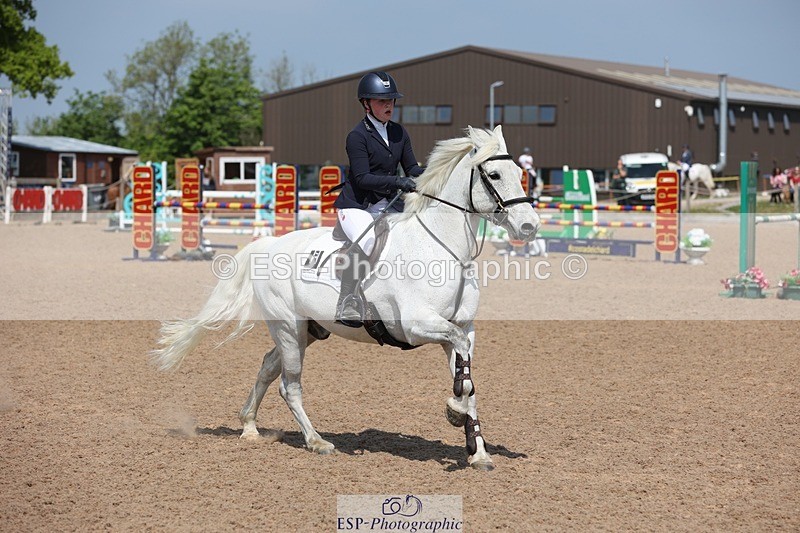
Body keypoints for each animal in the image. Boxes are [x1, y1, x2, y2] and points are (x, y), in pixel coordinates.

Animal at [151, 125, 540, 470]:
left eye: (520, 173)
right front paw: (454, 412)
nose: (529, 227)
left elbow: (469, 382)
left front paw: (478, 452)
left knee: (267, 367)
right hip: (289, 328)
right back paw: (316, 441)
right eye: (494, 174)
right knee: (289, 385)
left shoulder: (462, 330)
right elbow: (463, 377)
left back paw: (249, 427)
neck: (442, 248)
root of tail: (269, 244)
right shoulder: (418, 325)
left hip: (307, 330)